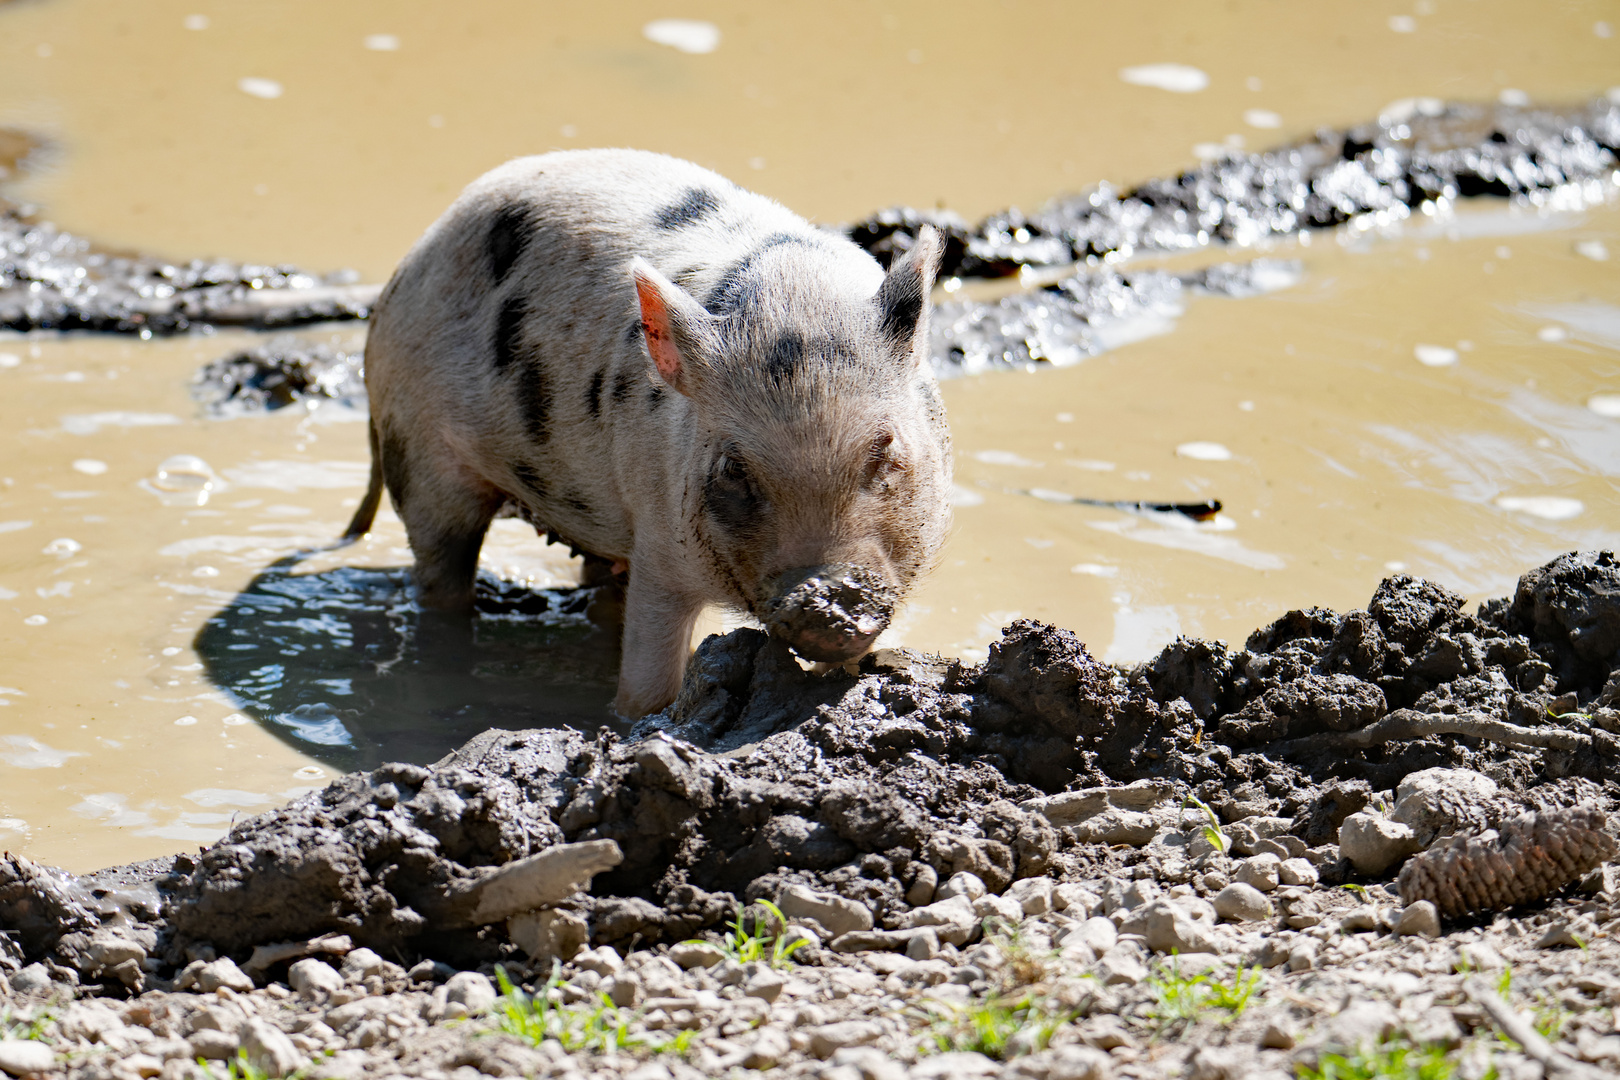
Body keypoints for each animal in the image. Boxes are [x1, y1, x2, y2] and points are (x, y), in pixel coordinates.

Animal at [341, 145, 946, 718]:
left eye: (885, 449)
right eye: (732, 467)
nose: (829, 595)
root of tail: (398, 280)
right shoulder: (659, 538)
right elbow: (649, 675)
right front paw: (638, 721)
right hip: (418, 455)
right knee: (439, 576)